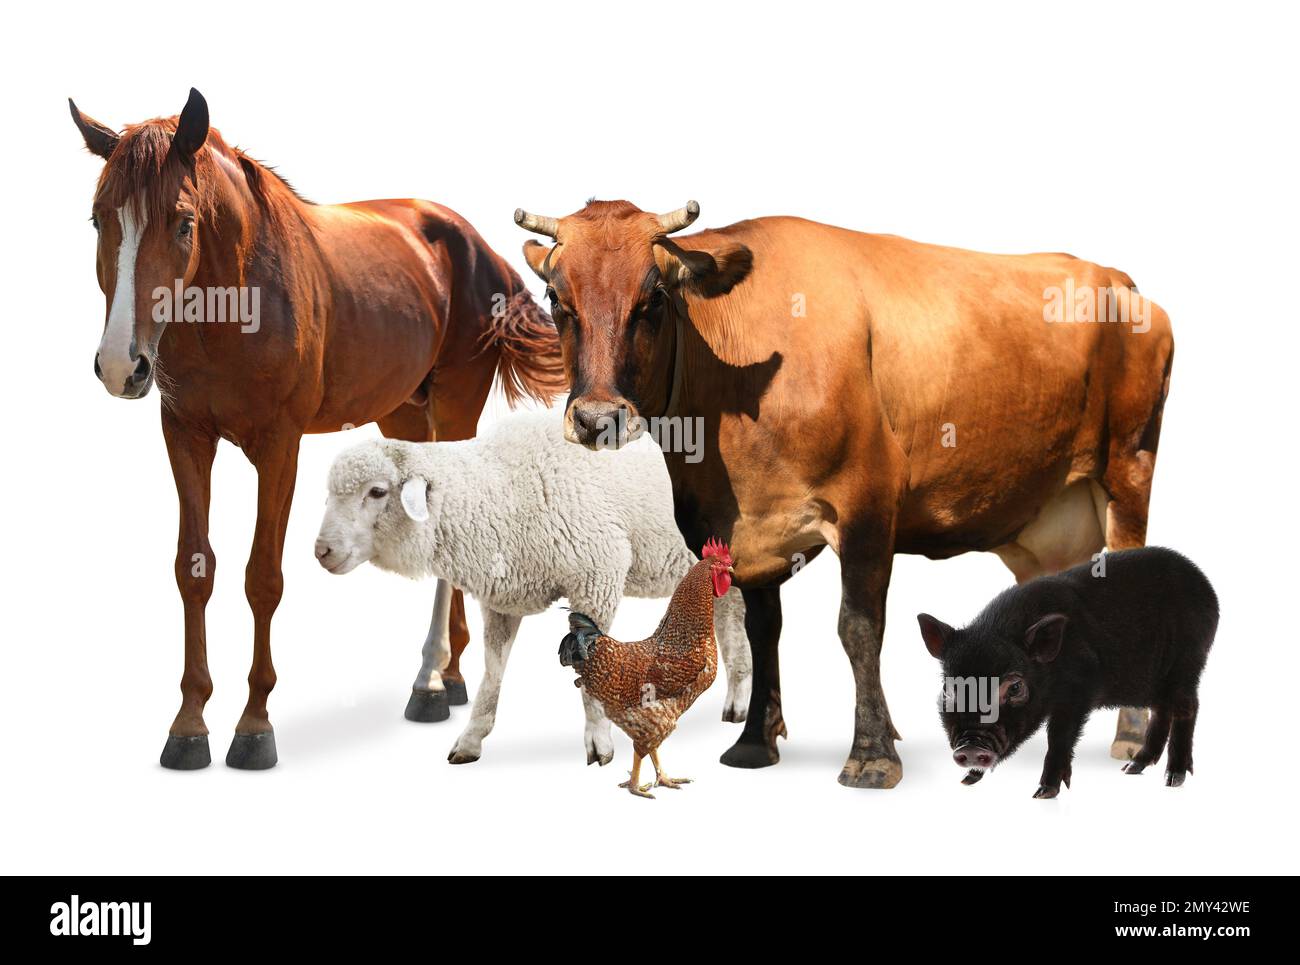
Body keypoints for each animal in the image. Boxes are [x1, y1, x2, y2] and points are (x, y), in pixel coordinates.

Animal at [68, 89, 561, 769]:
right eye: (98, 220)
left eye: (183, 222)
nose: (122, 365)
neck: (234, 302)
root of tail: (480, 247)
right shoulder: (185, 437)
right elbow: (194, 569)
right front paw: (189, 725)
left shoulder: (281, 447)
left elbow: (262, 577)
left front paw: (253, 726)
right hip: (403, 414)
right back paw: (453, 676)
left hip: (456, 409)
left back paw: (431, 683)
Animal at [312, 410, 754, 764]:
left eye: (377, 492)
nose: (321, 550)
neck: (498, 489)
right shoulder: (503, 599)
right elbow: (492, 673)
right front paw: (471, 739)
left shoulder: (599, 574)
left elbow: (593, 668)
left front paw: (600, 743)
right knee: (732, 620)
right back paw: (737, 700)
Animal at [512, 200, 1175, 790]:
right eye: (557, 299)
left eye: (653, 300)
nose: (597, 418)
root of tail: (1118, 280)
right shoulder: (742, 531)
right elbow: (764, 629)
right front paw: (755, 742)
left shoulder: (868, 502)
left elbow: (858, 628)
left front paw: (873, 755)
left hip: (1129, 468)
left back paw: (1131, 735)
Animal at [920, 548, 1211, 795]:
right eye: (949, 688)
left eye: (1015, 687)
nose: (970, 746)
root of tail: (1208, 588)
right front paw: (967, 781)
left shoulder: (1079, 689)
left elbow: (1059, 736)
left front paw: (1043, 793)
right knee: (1162, 711)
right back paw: (1131, 768)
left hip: (1187, 662)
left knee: (1188, 707)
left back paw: (1172, 779)